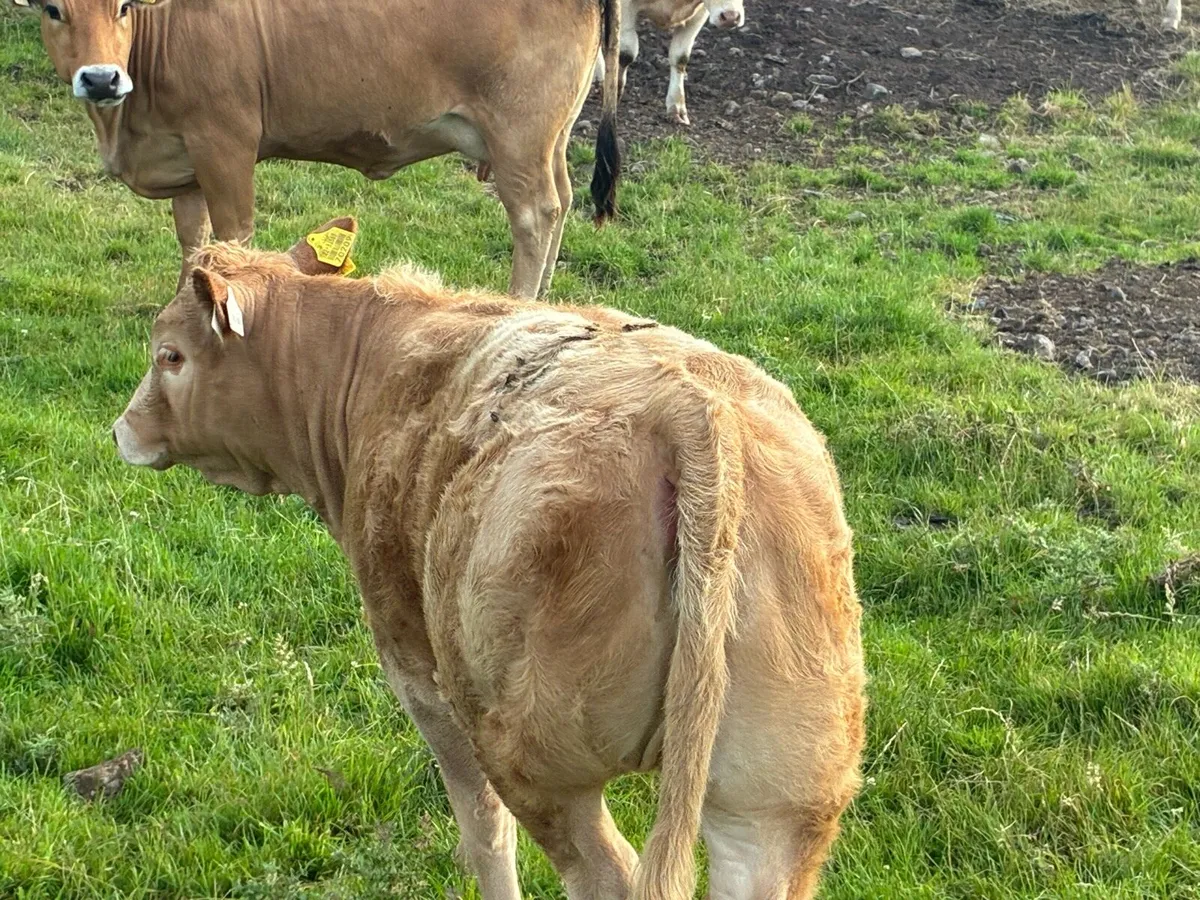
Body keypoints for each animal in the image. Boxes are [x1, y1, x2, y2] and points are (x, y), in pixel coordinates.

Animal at [12, 0, 623, 299]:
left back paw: (522, 301)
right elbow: (194, 238)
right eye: (53, 9)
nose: (100, 78)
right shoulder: (184, 157)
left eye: (122, 5)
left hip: (519, 134)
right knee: (563, 202)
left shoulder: (224, 142)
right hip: (552, 137)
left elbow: (232, 236)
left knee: (534, 214)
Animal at [112, 218, 867, 900]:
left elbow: (480, 825)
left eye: (169, 355)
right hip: (777, 793)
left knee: (604, 870)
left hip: (539, 757)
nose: (122, 430)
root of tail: (689, 404)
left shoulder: (416, 667)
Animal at [594, 0, 746, 126]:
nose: (731, 17)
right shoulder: (624, 8)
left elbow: (680, 57)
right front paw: (613, 91)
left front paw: (676, 108)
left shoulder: (700, 13)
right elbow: (626, 53)